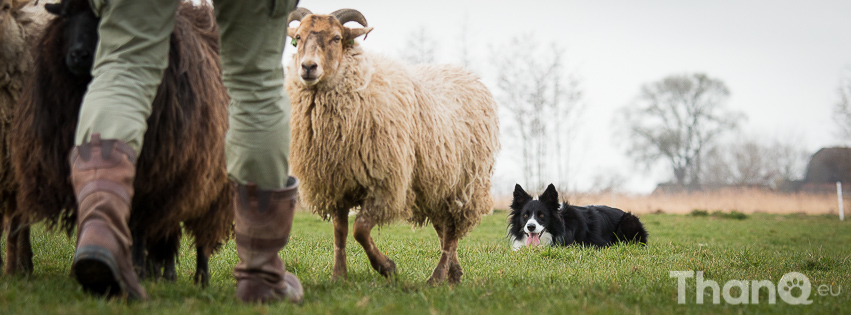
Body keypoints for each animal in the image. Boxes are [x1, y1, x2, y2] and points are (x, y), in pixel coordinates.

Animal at [10, 0, 235, 286]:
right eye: (67, 16)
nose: (78, 55)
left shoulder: (149, 172)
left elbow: (136, 226)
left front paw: (136, 269)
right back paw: (165, 273)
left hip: (211, 184)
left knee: (201, 233)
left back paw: (200, 278)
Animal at [286, 7, 500, 286]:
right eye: (298, 38)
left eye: (336, 38)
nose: (308, 67)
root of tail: (467, 75)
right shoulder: (336, 184)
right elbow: (339, 234)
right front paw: (338, 277)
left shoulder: (385, 182)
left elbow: (360, 230)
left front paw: (386, 267)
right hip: (435, 185)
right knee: (443, 229)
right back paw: (453, 275)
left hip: (465, 185)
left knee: (452, 233)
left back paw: (436, 278)